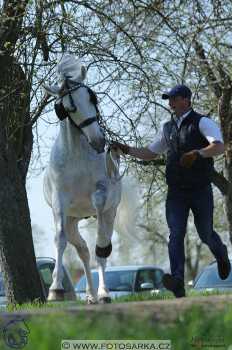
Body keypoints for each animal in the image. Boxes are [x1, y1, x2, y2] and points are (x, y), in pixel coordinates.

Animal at [42, 54, 121, 304]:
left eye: (92, 97)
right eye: (68, 108)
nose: (98, 141)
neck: (77, 154)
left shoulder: (103, 195)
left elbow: (101, 236)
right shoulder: (60, 203)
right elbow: (60, 240)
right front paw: (55, 290)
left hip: (110, 213)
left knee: (101, 245)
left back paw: (103, 293)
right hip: (71, 220)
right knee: (84, 250)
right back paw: (91, 295)